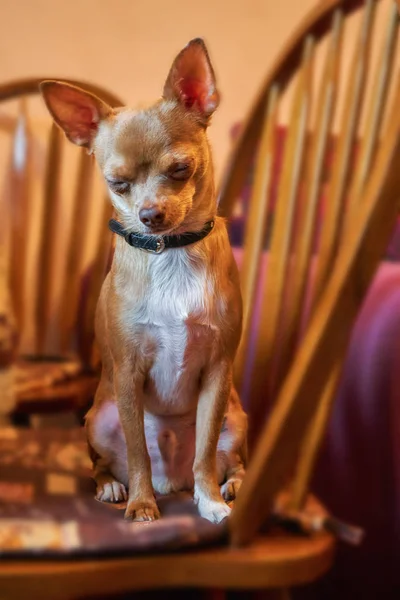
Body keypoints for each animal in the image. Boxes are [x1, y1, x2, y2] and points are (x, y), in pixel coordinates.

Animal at [41, 39, 247, 524]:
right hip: (98, 418)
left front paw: (209, 500)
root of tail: (173, 481)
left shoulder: (218, 372)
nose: (150, 215)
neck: (169, 251)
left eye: (180, 169)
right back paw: (114, 487)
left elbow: (205, 451)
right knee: (109, 462)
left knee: (224, 459)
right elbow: (137, 452)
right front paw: (140, 503)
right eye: (117, 183)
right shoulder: (128, 374)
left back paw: (227, 485)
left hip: (236, 415)